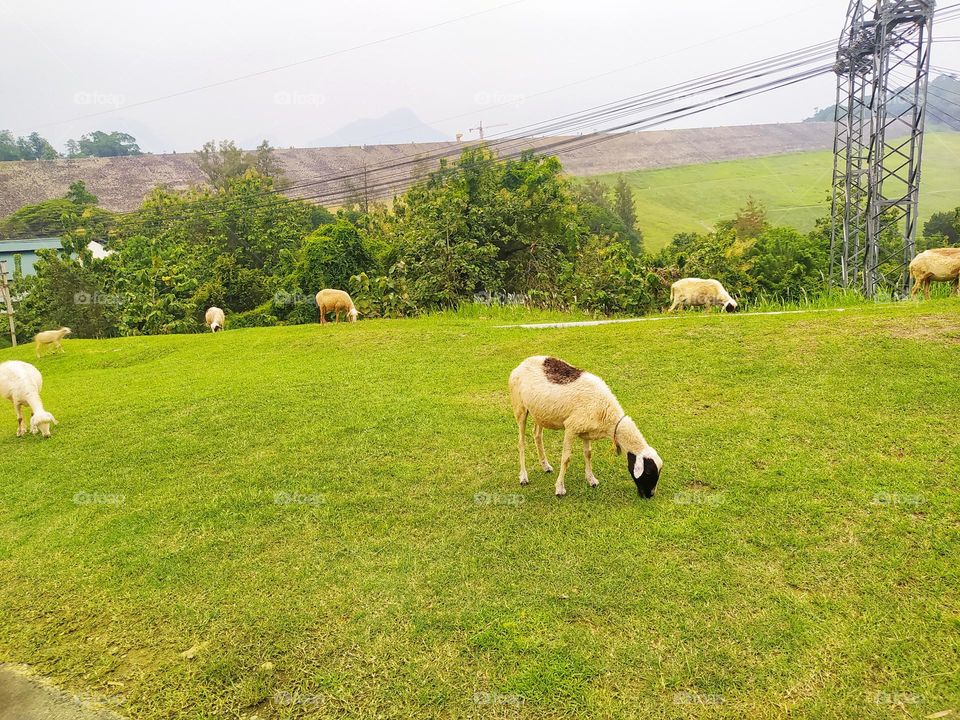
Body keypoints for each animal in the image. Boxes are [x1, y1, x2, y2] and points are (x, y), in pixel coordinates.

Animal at [509, 356, 663, 498]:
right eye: (648, 473)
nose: (649, 495)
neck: (607, 414)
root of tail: (522, 363)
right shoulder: (571, 427)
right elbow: (566, 458)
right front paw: (559, 488)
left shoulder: (586, 430)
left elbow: (588, 454)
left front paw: (591, 480)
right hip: (520, 408)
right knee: (521, 443)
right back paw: (523, 477)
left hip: (539, 413)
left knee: (537, 435)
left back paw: (545, 466)